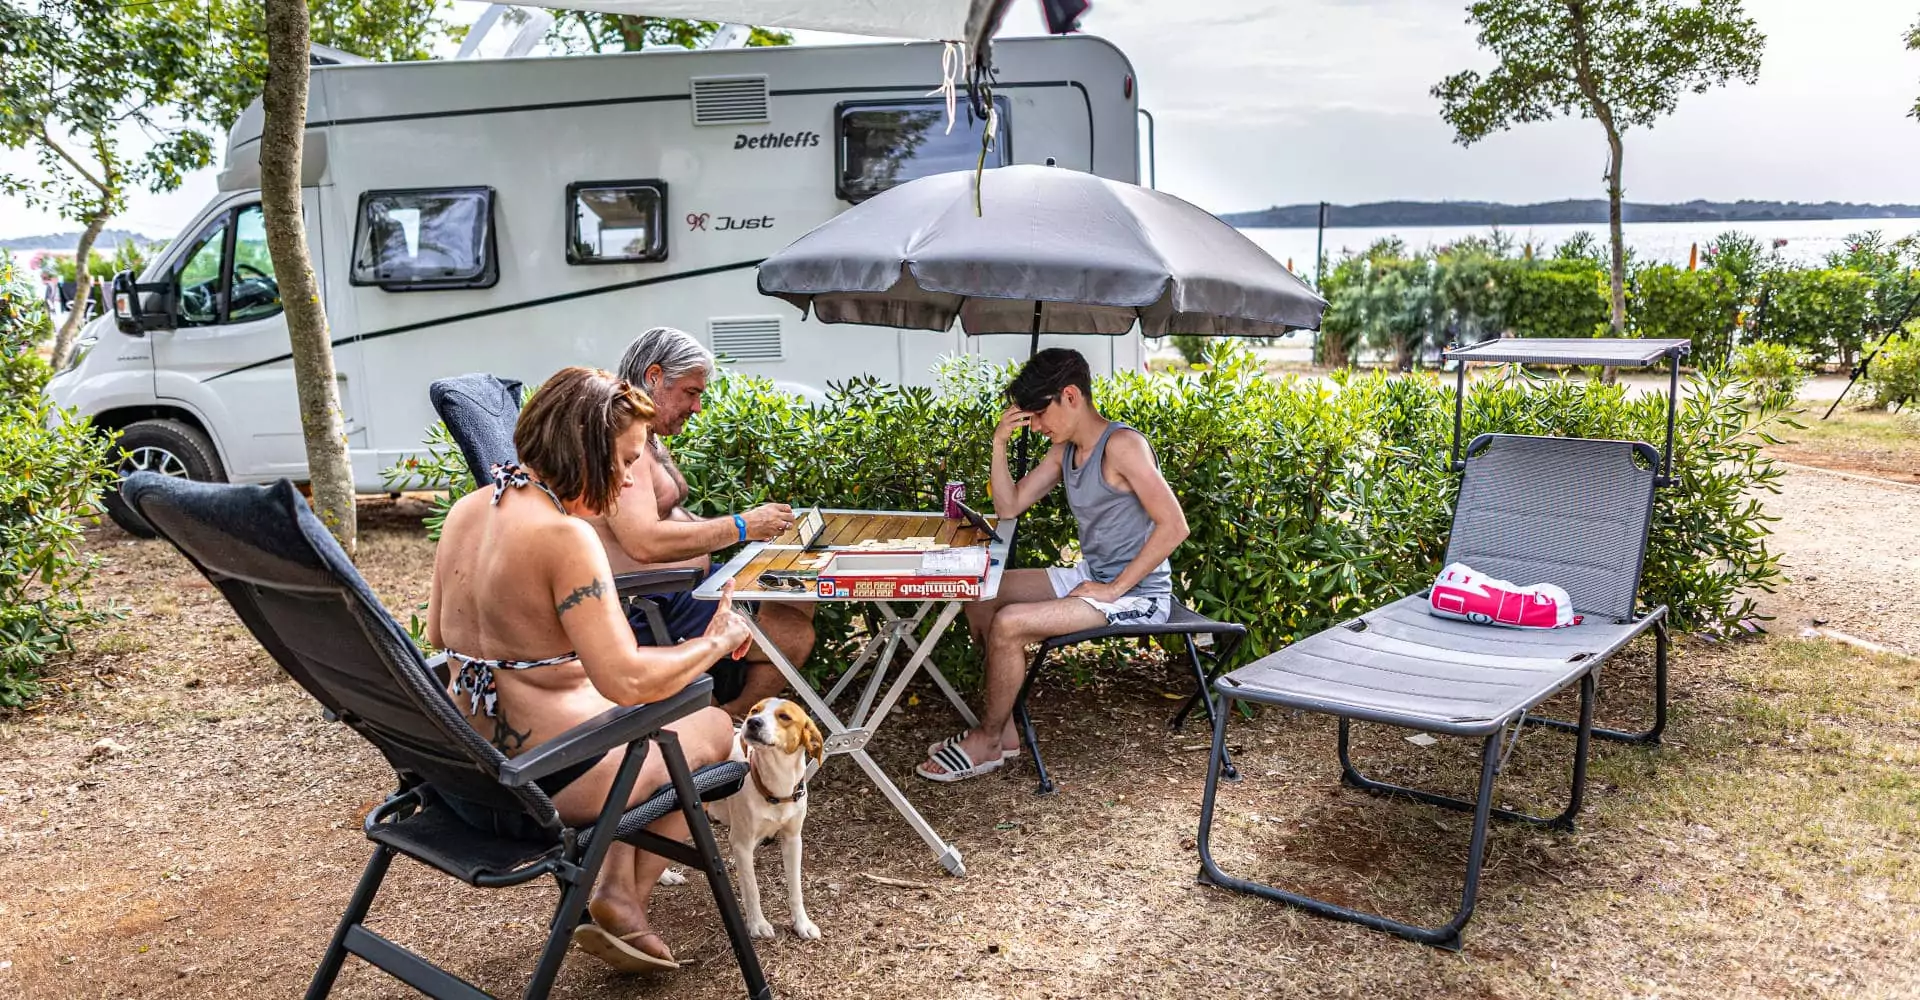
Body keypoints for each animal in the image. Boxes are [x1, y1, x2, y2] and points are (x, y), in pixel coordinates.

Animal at [710, 694, 821, 936]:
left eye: (785, 717)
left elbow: (796, 889)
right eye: (755, 710)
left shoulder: (792, 840)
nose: (753, 722)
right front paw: (758, 924)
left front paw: (802, 924)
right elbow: (752, 890)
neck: (777, 786)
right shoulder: (741, 845)